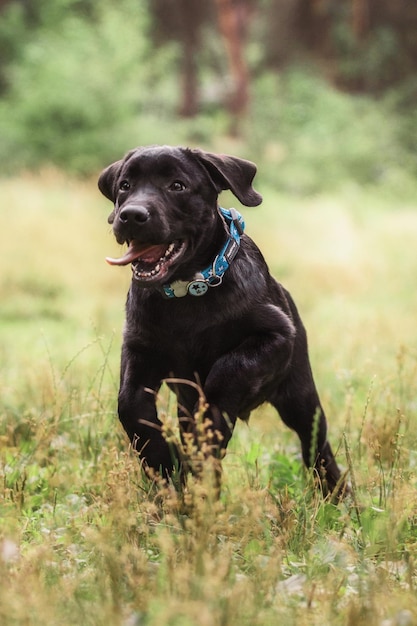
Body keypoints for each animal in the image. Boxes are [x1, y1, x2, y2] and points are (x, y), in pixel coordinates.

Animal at [98, 144, 344, 494]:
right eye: (125, 186)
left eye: (177, 186)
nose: (131, 215)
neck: (188, 293)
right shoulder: (139, 348)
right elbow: (130, 404)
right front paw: (164, 460)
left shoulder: (277, 335)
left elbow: (230, 368)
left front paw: (211, 420)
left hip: (301, 397)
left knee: (317, 447)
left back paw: (337, 494)